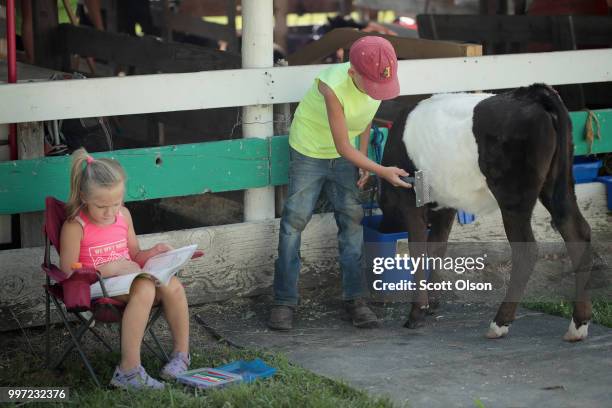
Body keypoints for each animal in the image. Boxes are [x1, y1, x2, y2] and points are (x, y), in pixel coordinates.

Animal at [378, 83, 592, 342]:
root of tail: (531, 94)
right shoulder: (446, 203)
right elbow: (437, 247)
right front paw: (432, 302)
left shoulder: (411, 201)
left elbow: (418, 252)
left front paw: (416, 313)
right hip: (556, 184)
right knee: (577, 232)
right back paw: (578, 325)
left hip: (513, 196)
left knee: (527, 250)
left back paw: (500, 322)